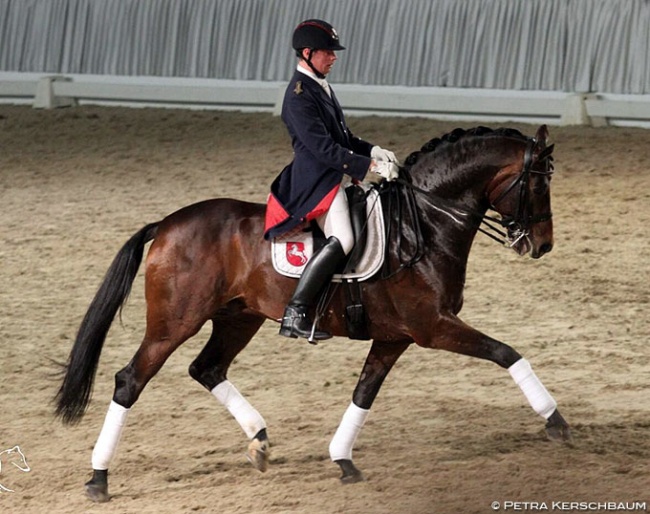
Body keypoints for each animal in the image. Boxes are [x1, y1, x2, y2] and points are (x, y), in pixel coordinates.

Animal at [54, 123, 568, 500]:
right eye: (538, 183)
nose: (541, 246)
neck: (424, 223)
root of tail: (166, 225)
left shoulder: (394, 336)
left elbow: (364, 392)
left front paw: (343, 459)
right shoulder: (433, 327)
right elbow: (506, 354)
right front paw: (556, 422)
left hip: (239, 317)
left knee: (207, 368)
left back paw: (259, 442)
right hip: (174, 322)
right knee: (130, 380)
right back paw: (98, 478)